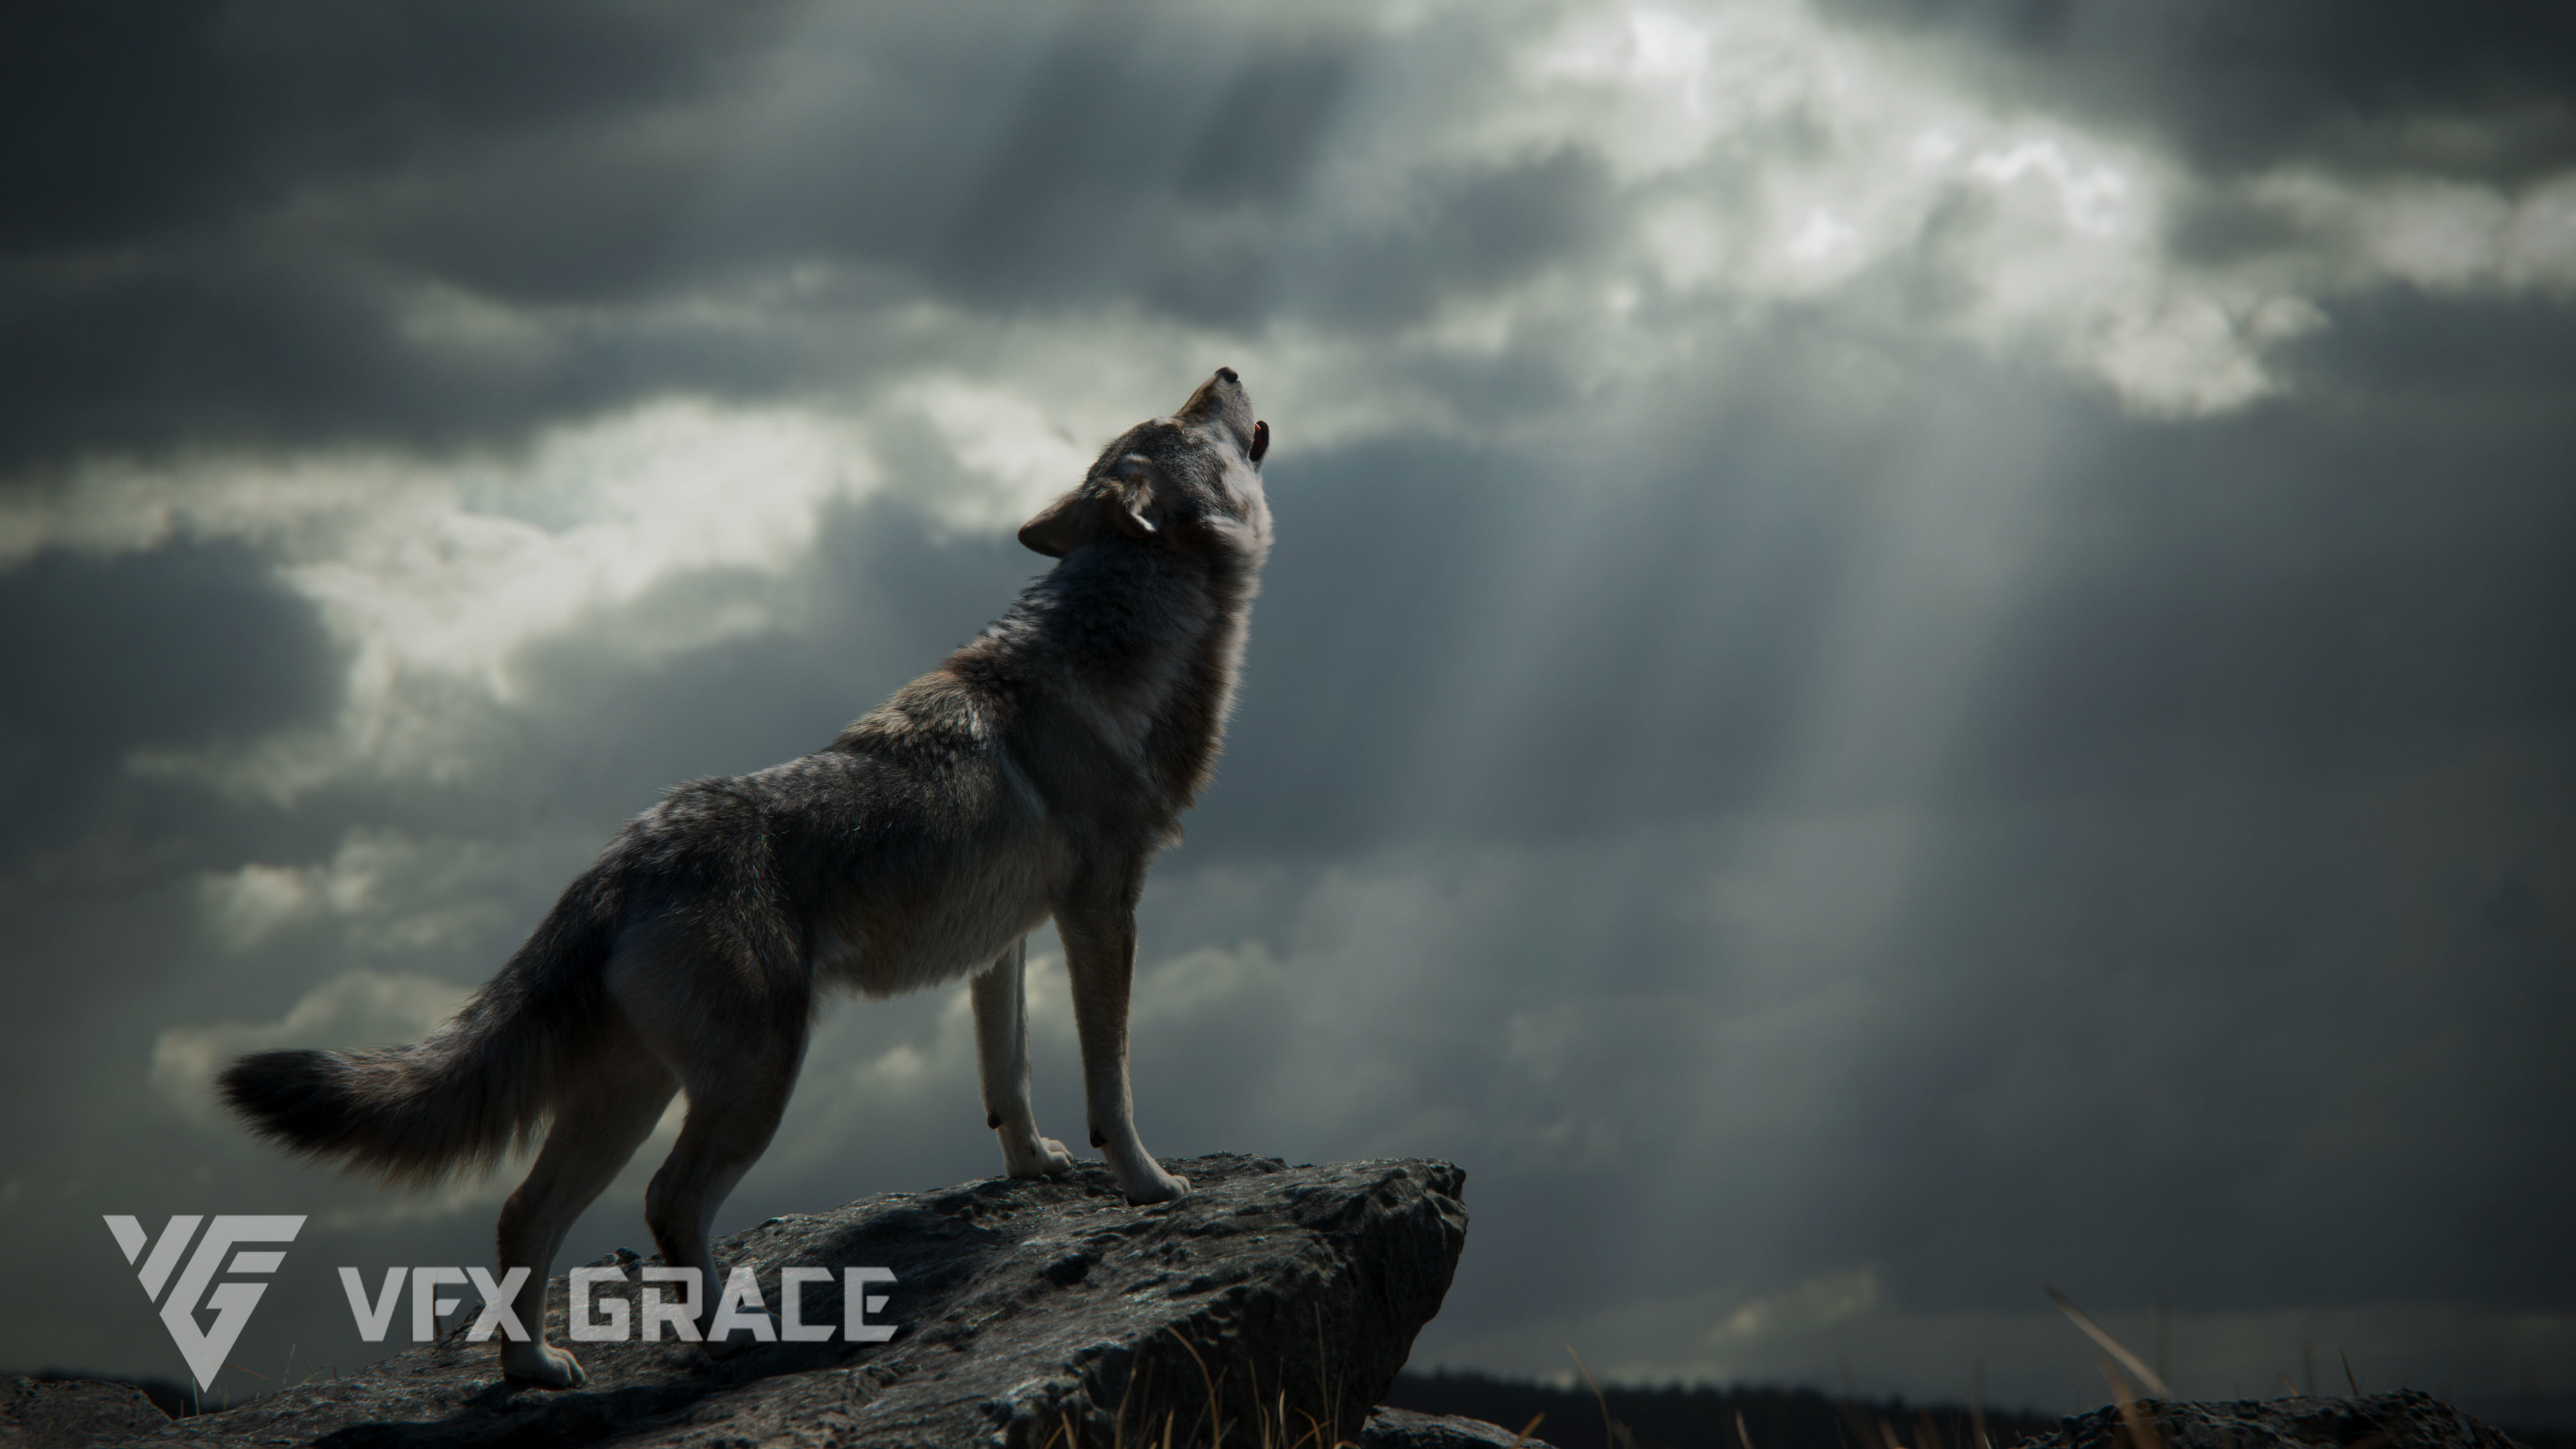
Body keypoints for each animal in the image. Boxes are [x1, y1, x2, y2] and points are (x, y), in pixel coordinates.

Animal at [221, 370, 1273, 1386]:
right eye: (1182, 416)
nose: (1226, 366)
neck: (1121, 644)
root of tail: (621, 862)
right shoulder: (1103, 911)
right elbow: (1112, 1081)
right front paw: (1149, 1185)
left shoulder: (1002, 939)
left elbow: (1004, 1076)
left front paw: (1034, 1168)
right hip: (754, 1084)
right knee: (667, 1200)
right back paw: (725, 1337)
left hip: (632, 1098)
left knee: (525, 1211)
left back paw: (537, 1370)